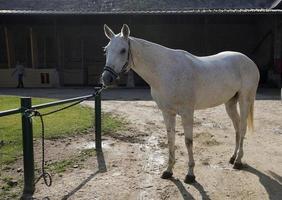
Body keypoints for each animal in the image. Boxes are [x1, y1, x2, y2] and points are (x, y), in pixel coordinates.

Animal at [101, 24, 260, 184]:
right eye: (106, 50)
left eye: (123, 50)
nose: (106, 78)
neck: (166, 71)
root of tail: (249, 61)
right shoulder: (167, 112)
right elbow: (171, 139)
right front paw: (168, 171)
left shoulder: (187, 113)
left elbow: (188, 141)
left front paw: (190, 175)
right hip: (230, 103)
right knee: (237, 127)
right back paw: (233, 157)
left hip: (245, 100)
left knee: (243, 128)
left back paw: (238, 162)